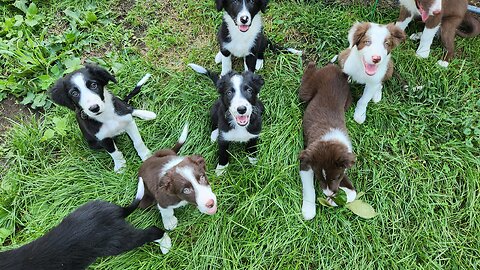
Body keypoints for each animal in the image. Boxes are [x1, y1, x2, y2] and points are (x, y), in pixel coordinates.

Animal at [300, 62, 356, 220]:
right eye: (318, 177)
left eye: (336, 177)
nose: (328, 194)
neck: (329, 140)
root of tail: (334, 68)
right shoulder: (306, 160)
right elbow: (309, 188)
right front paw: (308, 210)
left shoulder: (343, 166)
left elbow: (353, 192)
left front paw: (334, 200)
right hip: (306, 92)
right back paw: (311, 63)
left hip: (348, 101)